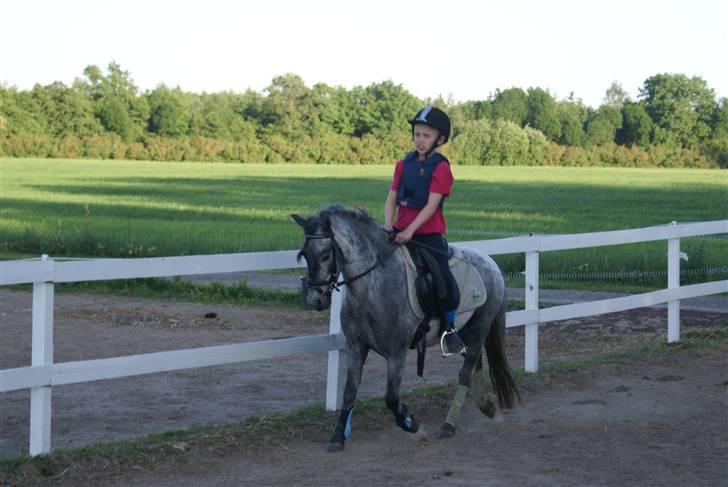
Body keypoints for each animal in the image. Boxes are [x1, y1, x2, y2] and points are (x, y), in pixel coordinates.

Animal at [290, 204, 516, 452]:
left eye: (325, 255)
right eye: (304, 255)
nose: (315, 300)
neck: (371, 287)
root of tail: (492, 264)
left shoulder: (396, 353)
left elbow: (391, 398)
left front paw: (412, 424)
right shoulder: (356, 348)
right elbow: (349, 392)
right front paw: (338, 436)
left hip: (480, 327)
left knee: (466, 373)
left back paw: (449, 425)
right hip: (467, 331)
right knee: (475, 367)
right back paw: (487, 408)